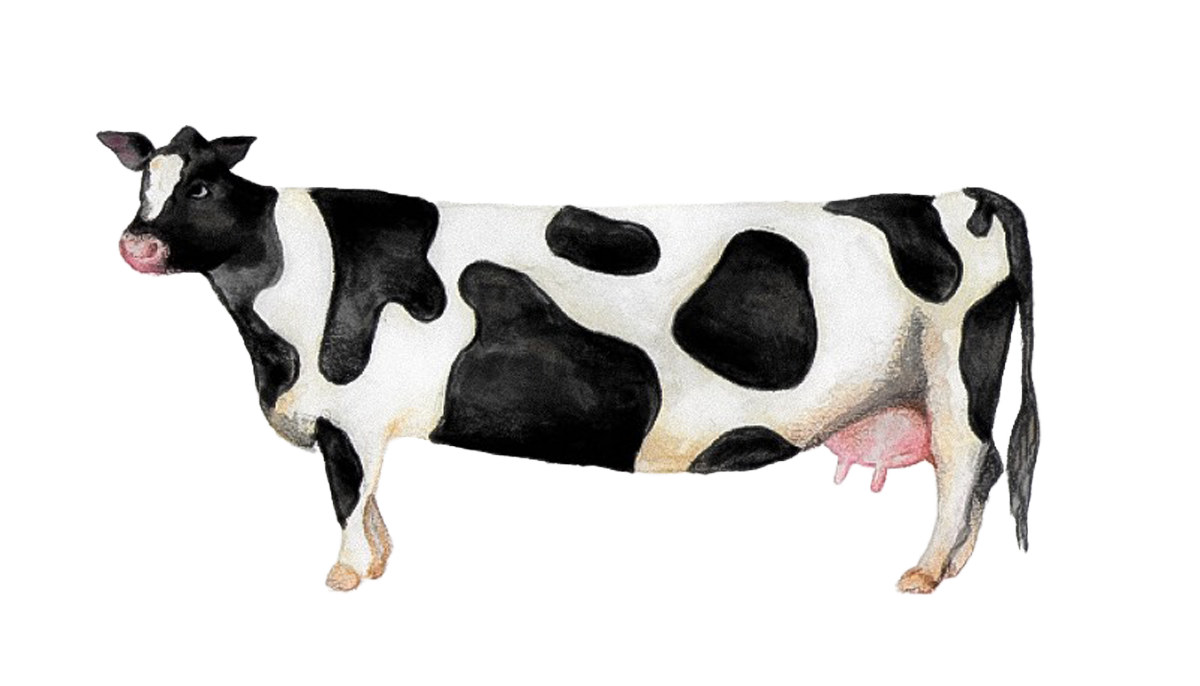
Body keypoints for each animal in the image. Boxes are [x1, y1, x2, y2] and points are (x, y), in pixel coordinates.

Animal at [102, 125, 1040, 596]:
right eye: (141, 184)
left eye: (200, 186)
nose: (136, 244)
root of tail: (961, 192)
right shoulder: (352, 420)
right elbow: (364, 503)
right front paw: (373, 568)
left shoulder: (351, 416)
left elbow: (345, 495)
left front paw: (341, 576)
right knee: (977, 471)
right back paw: (950, 568)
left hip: (956, 374)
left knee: (966, 461)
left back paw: (923, 573)